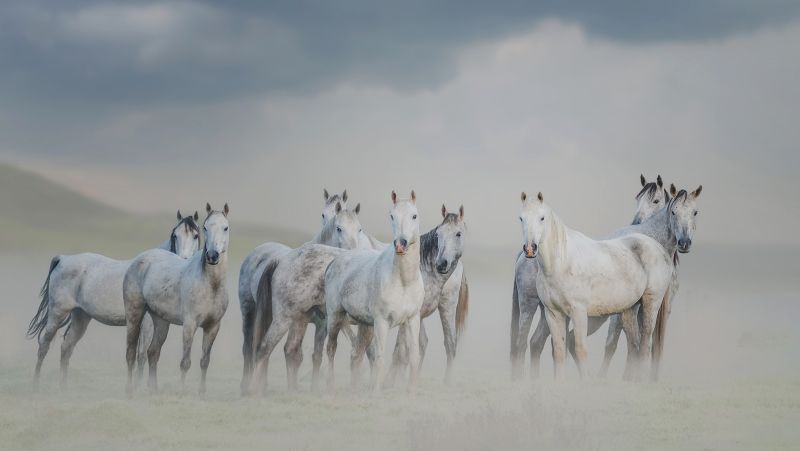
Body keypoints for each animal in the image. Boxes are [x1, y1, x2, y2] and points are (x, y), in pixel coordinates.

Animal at [27, 210, 200, 390]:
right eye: (175, 235)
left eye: (196, 235)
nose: (184, 259)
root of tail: (63, 258)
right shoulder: (146, 324)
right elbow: (141, 355)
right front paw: (137, 386)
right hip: (57, 313)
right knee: (44, 345)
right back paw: (36, 385)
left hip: (81, 317)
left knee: (67, 347)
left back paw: (64, 387)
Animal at [123, 203, 230, 396]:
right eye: (205, 227)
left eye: (225, 227)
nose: (212, 256)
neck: (210, 285)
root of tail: (140, 259)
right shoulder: (190, 324)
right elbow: (185, 362)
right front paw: (181, 392)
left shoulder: (213, 326)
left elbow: (205, 361)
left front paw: (202, 394)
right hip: (135, 317)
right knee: (132, 353)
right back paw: (130, 391)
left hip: (161, 321)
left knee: (153, 352)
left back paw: (153, 390)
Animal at [238, 190, 360, 394]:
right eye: (338, 228)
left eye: (359, 229)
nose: (353, 250)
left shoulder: (324, 324)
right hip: (259, 313)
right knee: (255, 348)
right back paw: (250, 388)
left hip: (290, 318)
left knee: (282, 349)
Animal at [324, 190, 425, 393]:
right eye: (392, 216)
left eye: (414, 215)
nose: (401, 244)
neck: (404, 281)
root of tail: (336, 260)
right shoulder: (382, 322)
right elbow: (379, 358)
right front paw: (375, 392)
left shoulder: (412, 319)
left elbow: (413, 357)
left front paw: (411, 391)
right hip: (335, 317)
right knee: (331, 349)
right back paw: (329, 387)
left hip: (365, 326)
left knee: (356, 355)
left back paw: (354, 390)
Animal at [510, 175, 666, 379]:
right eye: (521, 218)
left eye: (542, 218)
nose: (530, 249)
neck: (561, 263)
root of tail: (658, 248)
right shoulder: (553, 313)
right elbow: (559, 351)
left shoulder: (578, 312)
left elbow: (580, 349)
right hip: (628, 309)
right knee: (635, 345)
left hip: (650, 303)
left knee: (645, 344)